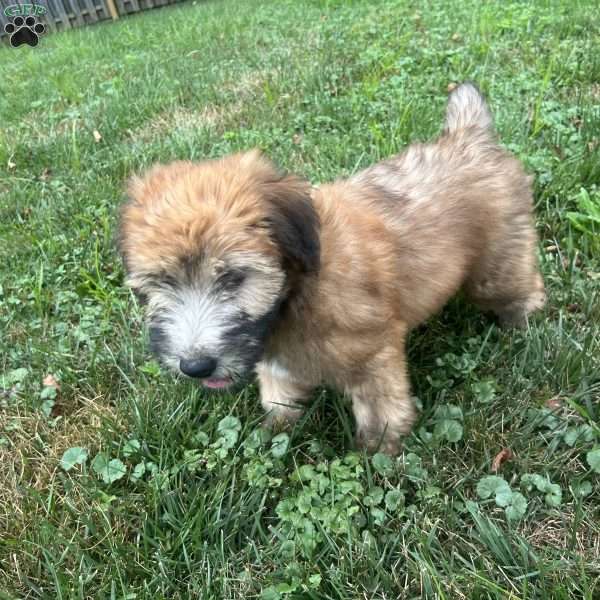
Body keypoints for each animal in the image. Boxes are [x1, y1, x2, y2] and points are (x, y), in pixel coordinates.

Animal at [117, 82, 544, 452]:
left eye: (233, 278)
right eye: (162, 282)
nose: (195, 367)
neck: (297, 291)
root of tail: (469, 137)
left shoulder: (373, 354)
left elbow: (379, 408)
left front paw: (378, 451)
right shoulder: (276, 361)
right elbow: (279, 394)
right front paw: (274, 432)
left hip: (496, 265)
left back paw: (523, 324)